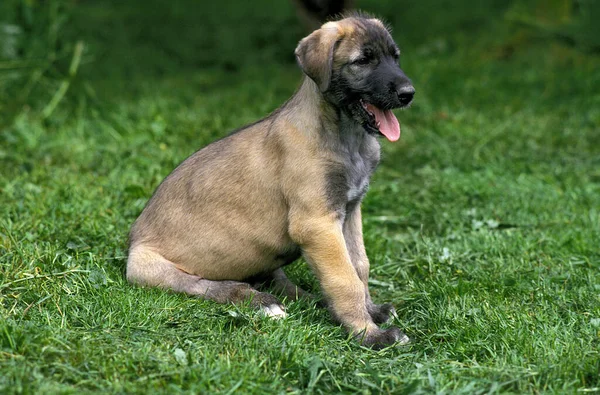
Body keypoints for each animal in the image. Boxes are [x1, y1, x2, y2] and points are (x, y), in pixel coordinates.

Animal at [127, 14, 412, 350]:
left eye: (395, 57)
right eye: (363, 61)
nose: (408, 93)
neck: (345, 136)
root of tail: (131, 241)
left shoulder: (350, 211)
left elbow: (358, 266)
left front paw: (371, 312)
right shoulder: (317, 223)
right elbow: (345, 279)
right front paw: (368, 334)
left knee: (276, 278)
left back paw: (311, 301)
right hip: (148, 266)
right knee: (207, 285)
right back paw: (260, 302)